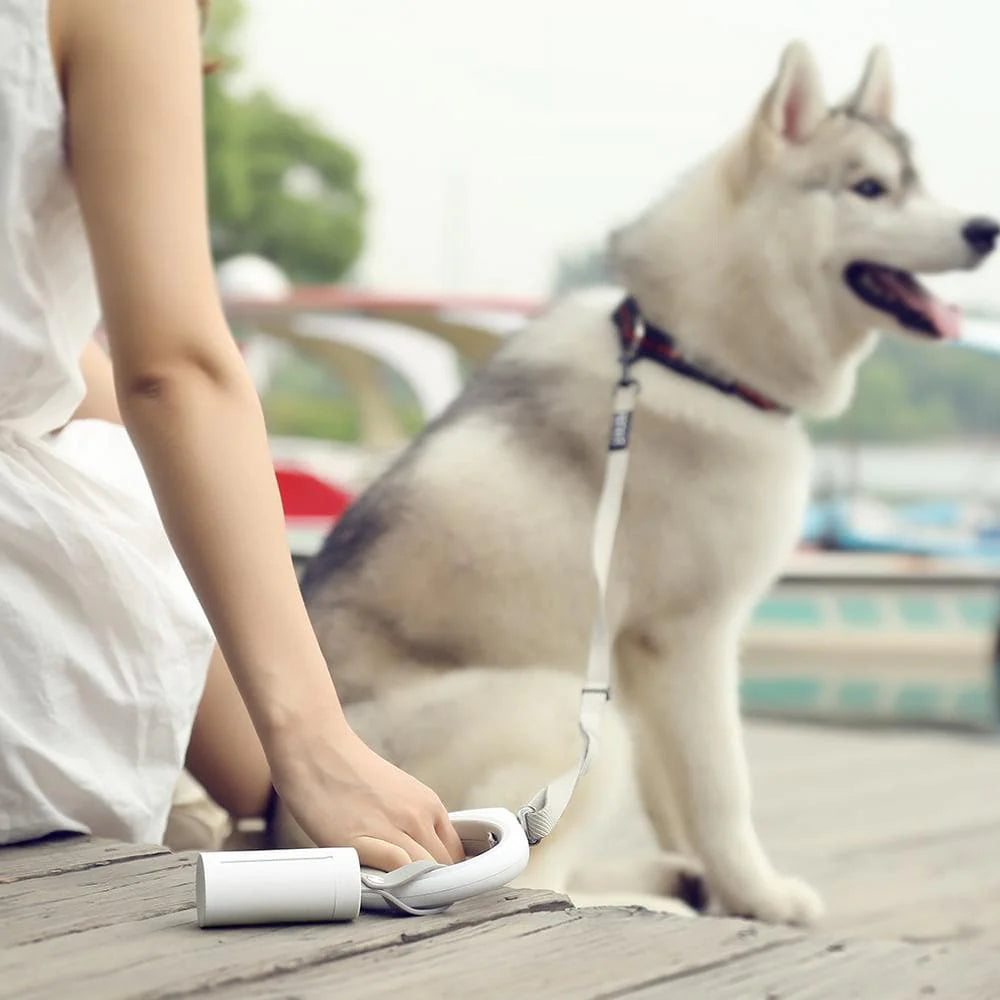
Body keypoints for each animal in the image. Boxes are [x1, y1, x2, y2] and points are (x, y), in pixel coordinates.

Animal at [286, 43, 996, 924]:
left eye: (918, 181)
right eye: (869, 187)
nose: (984, 229)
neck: (690, 355)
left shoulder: (637, 653)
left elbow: (677, 796)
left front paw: (715, 881)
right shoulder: (692, 635)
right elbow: (722, 789)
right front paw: (758, 895)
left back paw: (668, 882)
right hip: (566, 718)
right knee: (534, 883)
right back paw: (656, 903)